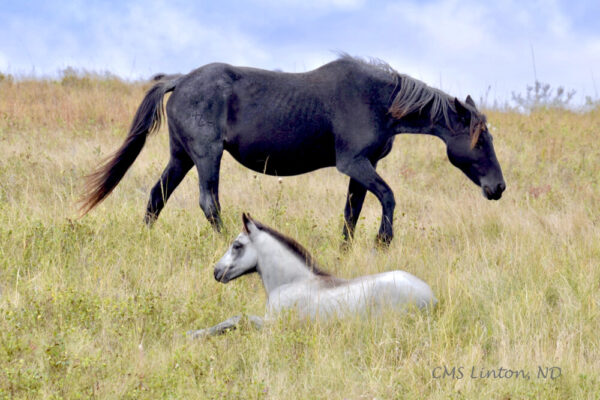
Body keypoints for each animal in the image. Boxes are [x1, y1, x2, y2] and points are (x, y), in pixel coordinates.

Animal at [78, 55, 502, 244]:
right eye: (479, 141)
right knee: (209, 202)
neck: (378, 100)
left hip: (180, 158)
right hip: (206, 156)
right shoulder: (353, 163)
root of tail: (179, 81)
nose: (498, 188)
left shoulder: (361, 168)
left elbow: (351, 214)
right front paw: (383, 242)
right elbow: (388, 198)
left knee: (156, 197)